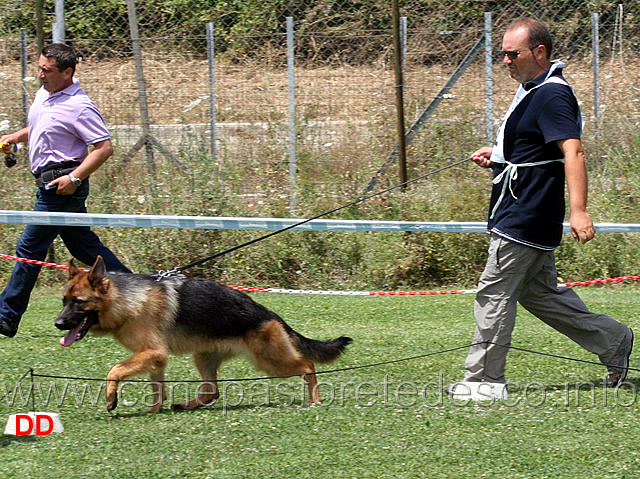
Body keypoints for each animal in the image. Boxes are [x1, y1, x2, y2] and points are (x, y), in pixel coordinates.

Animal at [53, 256, 356, 414]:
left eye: (78, 302)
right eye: (64, 300)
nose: (58, 324)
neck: (126, 301)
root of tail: (270, 314)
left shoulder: (152, 353)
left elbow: (114, 370)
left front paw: (111, 398)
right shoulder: (155, 358)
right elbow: (157, 388)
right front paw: (154, 410)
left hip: (270, 361)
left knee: (308, 365)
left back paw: (315, 400)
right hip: (204, 357)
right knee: (212, 391)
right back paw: (186, 405)